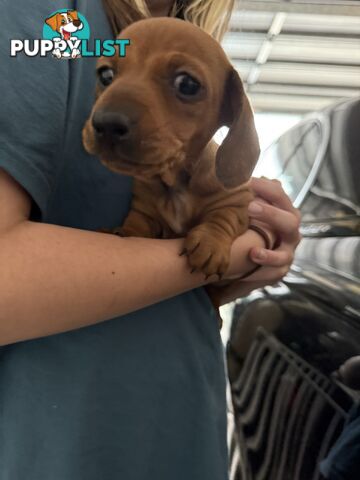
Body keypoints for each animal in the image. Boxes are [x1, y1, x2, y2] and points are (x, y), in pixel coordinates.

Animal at [83, 17, 260, 304]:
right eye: (105, 75)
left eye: (187, 84)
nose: (106, 124)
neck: (176, 181)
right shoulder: (145, 208)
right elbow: (137, 222)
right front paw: (124, 231)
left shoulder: (238, 201)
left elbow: (224, 218)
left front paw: (211, 243)